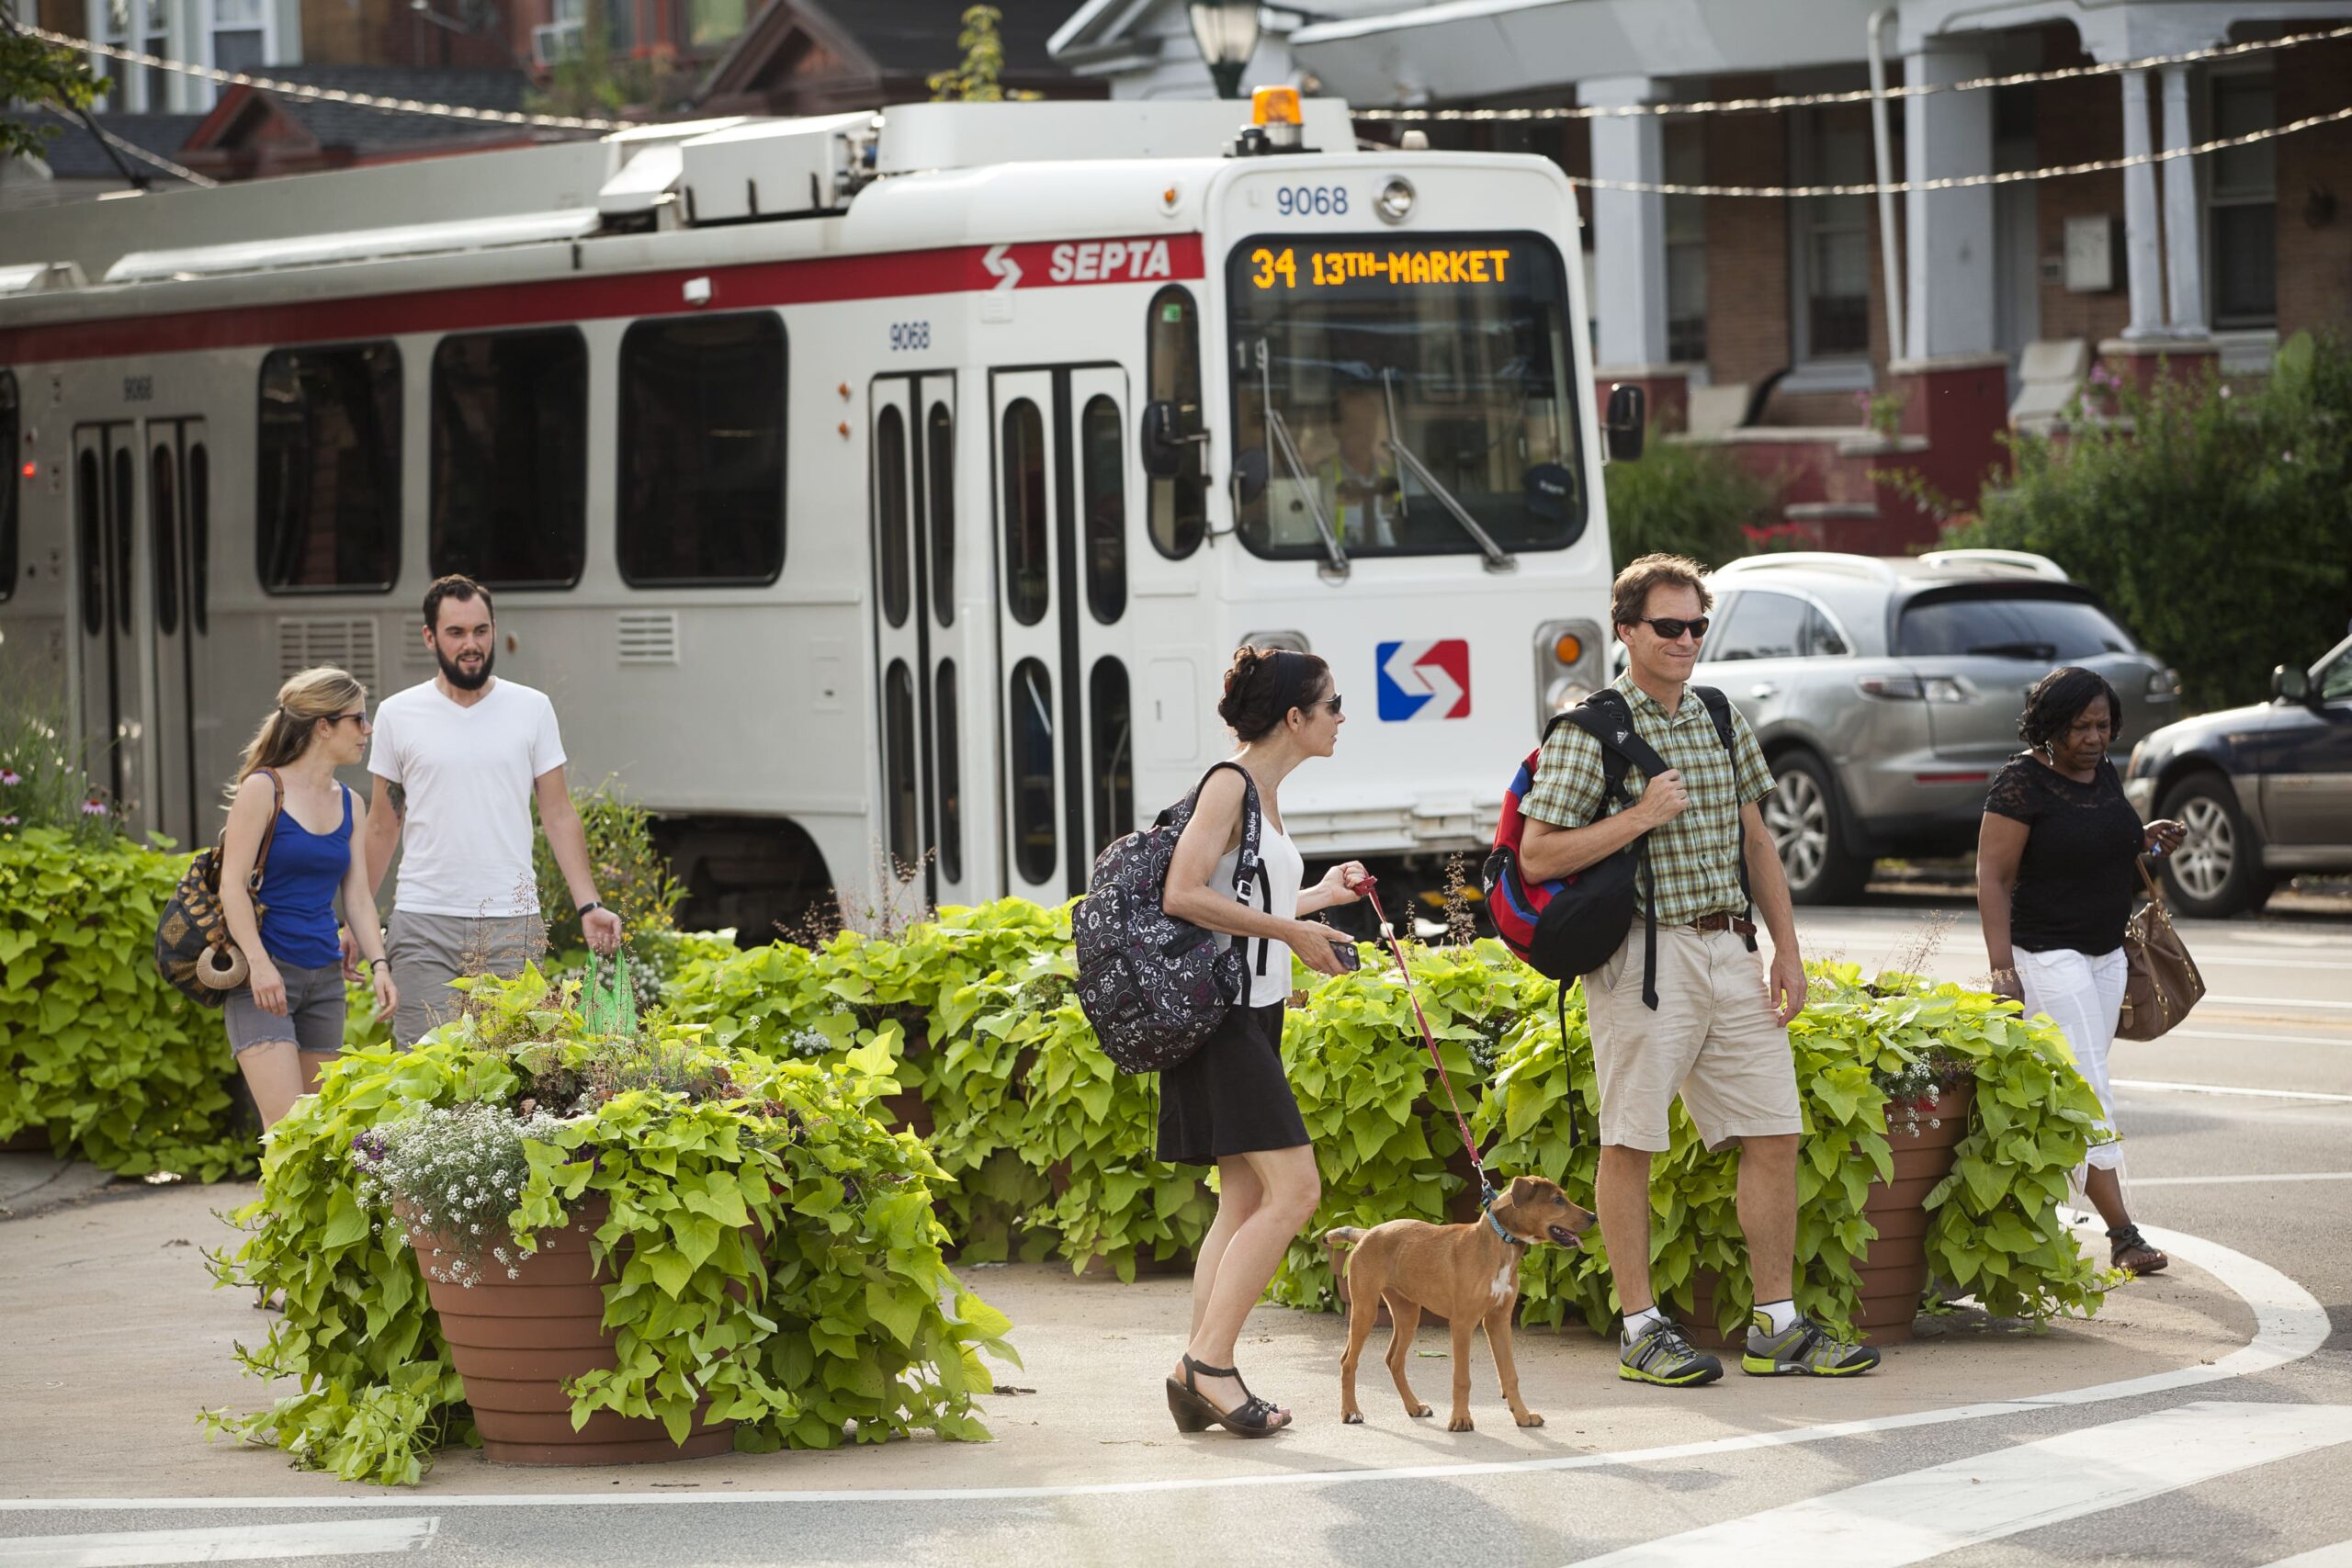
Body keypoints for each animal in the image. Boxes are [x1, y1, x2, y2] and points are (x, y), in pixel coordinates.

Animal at [1336, 1175, 1589, 1438]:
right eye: (1557, 1200)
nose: (1593, 1217)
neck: (1497, 1245)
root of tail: (1367, 1233)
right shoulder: (1462, 1324)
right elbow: (1462, 1379)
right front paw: (1460, 1419)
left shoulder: (1499, 1321)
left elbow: (1510, 1375)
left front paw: (1522, 1416)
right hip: (1365, 1310)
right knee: (1348, 1362)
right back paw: (1351, 1412)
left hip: (1408, 1313)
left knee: (1394, 1360)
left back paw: (1414, 1407)